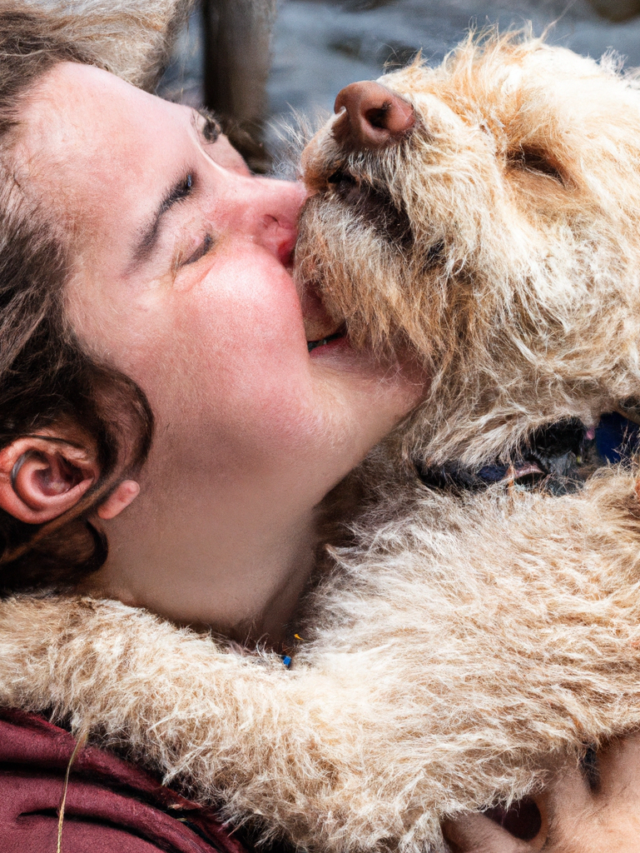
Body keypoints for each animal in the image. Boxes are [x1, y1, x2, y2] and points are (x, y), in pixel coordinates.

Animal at [3, 13, 640, 852]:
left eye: (540, 163)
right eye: (443, 76)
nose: (366, 106)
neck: (549, 444)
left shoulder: (363, 757)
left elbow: (120, 642)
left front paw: (14, 628)